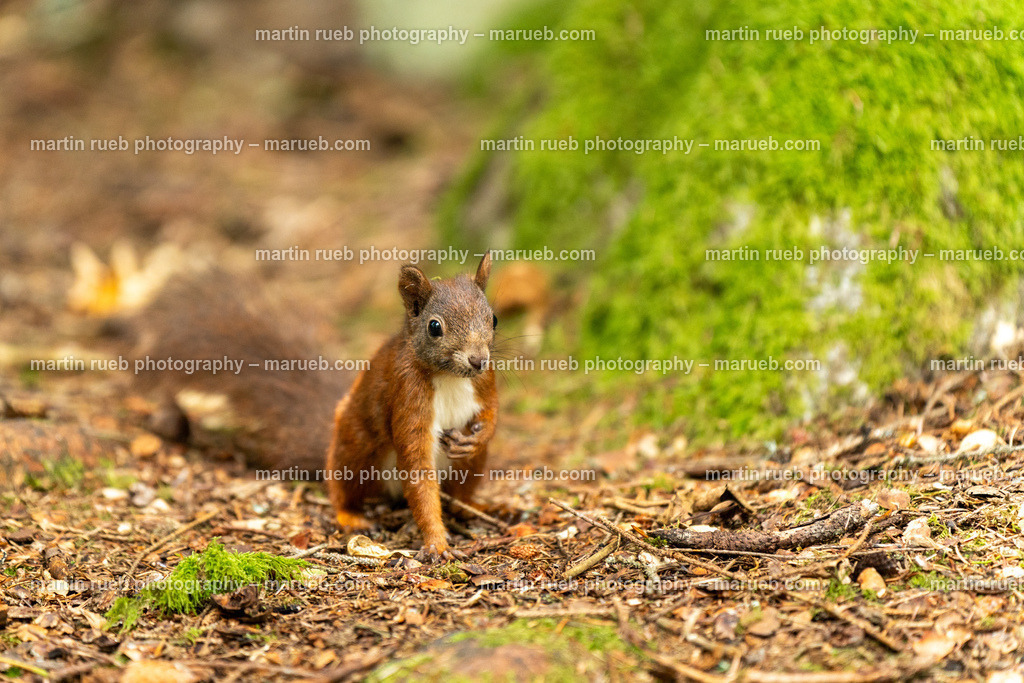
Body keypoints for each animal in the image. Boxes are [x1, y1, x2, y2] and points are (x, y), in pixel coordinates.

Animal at [326, 253, 498, 560]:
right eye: (434, 327)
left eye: (494, 319)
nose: (478, 360)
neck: (449, 376)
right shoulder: (408, 392)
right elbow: (417, 467)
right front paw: (436, 542)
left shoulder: (486, 380)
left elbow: (492, 410)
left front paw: (479, 436)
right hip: (355, 448)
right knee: (341, 486)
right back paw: (350, 516)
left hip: (470, 467)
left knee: (460, 495)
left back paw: (476, 507)